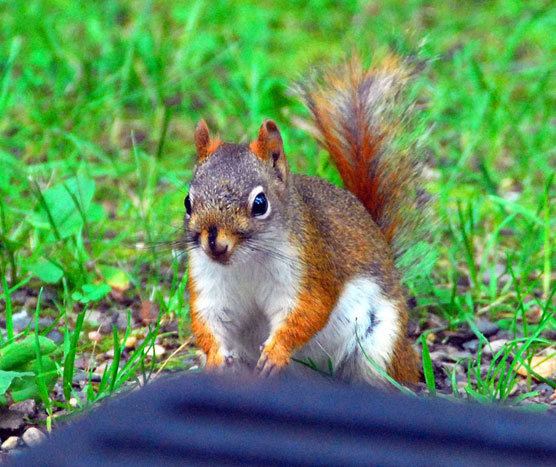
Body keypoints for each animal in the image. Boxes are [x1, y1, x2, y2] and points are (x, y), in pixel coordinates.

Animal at [185, 55, 428, 384]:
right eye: (188, 202)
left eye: (260, 204)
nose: (214, 244)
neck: (246, 263)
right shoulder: (209, 283)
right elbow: (209, 321)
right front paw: (214, 359)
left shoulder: (311, 267)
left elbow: (310, 311)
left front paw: (276, 353)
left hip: (381, 345)